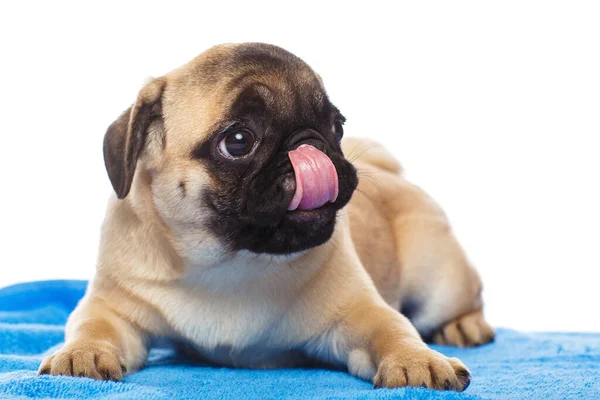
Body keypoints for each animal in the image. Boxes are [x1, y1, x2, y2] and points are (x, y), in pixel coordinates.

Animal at [37, 43, 492, 390]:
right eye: (238, 141)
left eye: (337, 127)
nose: (312, 143)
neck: (229, 262)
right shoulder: (113, 308)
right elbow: (94, 326)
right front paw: (81, 354)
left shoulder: (360, 313)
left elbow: (394, 330)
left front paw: (420, 360)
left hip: (438, 279)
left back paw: (463, 328)